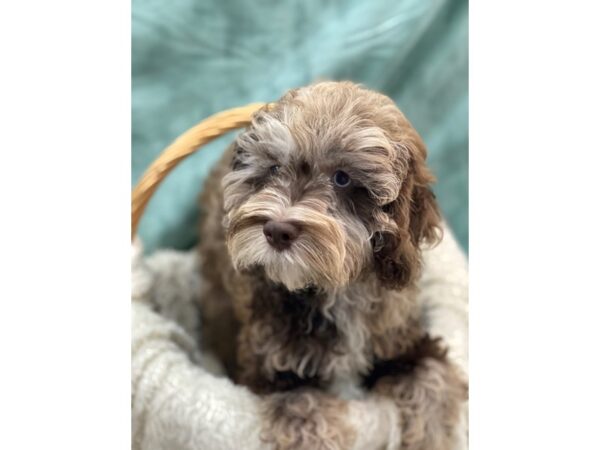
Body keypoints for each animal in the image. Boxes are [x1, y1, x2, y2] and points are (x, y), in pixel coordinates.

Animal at [199, 81, 466, 450]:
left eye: (342, 179)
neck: (339, 288)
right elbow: (303, 409)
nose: (276, 231)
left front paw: (432, 435)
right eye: (274, 169)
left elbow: (430, 376)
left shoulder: (402, 341)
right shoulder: (275, 369)